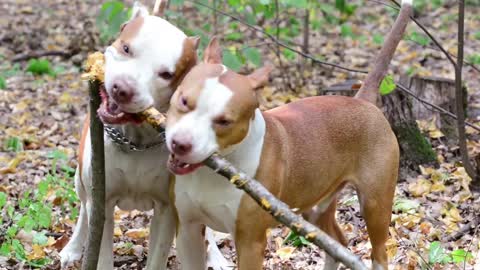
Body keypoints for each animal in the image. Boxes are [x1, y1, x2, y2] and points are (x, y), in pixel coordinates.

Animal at [58, 1, 231, 268]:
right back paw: (73, 248)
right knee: (84, 210)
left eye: (167, 74)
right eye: (126, 48)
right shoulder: (102, 201)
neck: (136, 140)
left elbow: (158, 255)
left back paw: (216, 256)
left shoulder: (167, 210)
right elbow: (100, 247)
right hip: (80, 181)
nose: (123, 88)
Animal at [165, 0, 412, 268]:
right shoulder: (188, 231)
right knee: (337, 243)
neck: (215, 172)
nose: (180, 144)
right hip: (315, 207)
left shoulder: (250, 243)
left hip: (375, 204)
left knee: (379, 252)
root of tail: (362, 101)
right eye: (184, 101)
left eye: (224, 121)